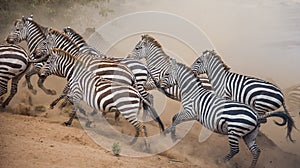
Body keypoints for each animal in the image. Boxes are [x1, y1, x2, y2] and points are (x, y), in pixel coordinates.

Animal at [31, 48, 165, 146]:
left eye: (48, 62)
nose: (39, 74)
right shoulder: (77, 93)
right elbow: (70, 101)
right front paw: (86, 118)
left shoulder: (77, 91)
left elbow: (70, 101)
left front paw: (66, 119)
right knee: (141, 120)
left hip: (128, 107)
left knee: (141, 122)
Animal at [161, 58, 294, 167]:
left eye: (167, 74)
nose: (160, 87)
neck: (193, 91)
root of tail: (256, 116)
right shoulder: (190, 114)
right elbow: (175, 118)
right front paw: (171, 135)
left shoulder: (190, 112)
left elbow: (176, 119)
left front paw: (167, 134)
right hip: (249, 134)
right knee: (256, 150)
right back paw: (250, 166)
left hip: (235, 130)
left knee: (235, 150)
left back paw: (220, 161)